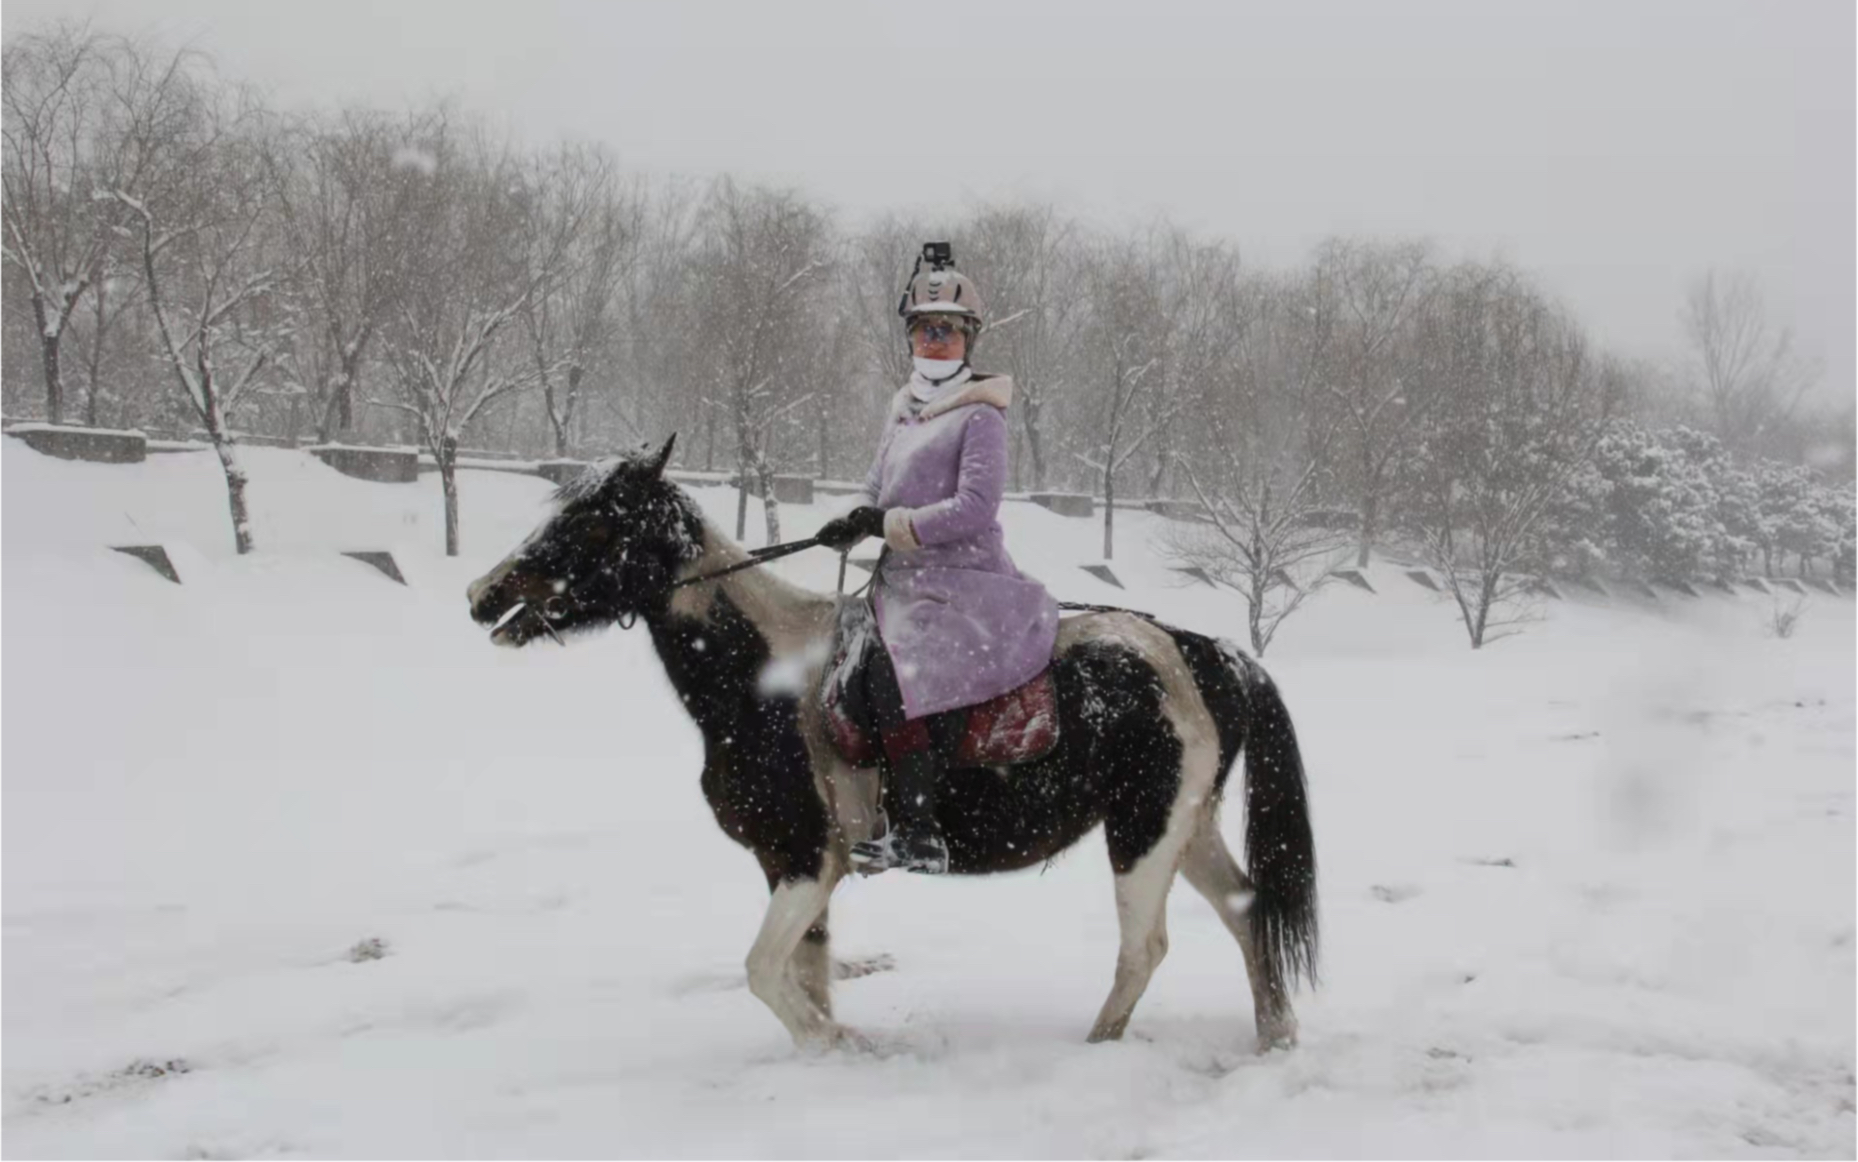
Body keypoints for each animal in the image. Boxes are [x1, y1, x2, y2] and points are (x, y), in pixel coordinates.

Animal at [471, 435, 1330, 1048]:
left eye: (594, 521)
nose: (484, 594)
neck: (766, 680)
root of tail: (1203, 650)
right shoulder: (790, 866)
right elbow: (807, 970)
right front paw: (833, 1041)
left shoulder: (806, 858)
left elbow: (765, 974)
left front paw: (840, 1045)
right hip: (1188, 827)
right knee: (1250, 915)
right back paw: (1274, 1037)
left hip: (1145, 834)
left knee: (1144, 949)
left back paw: (1099, 1044)